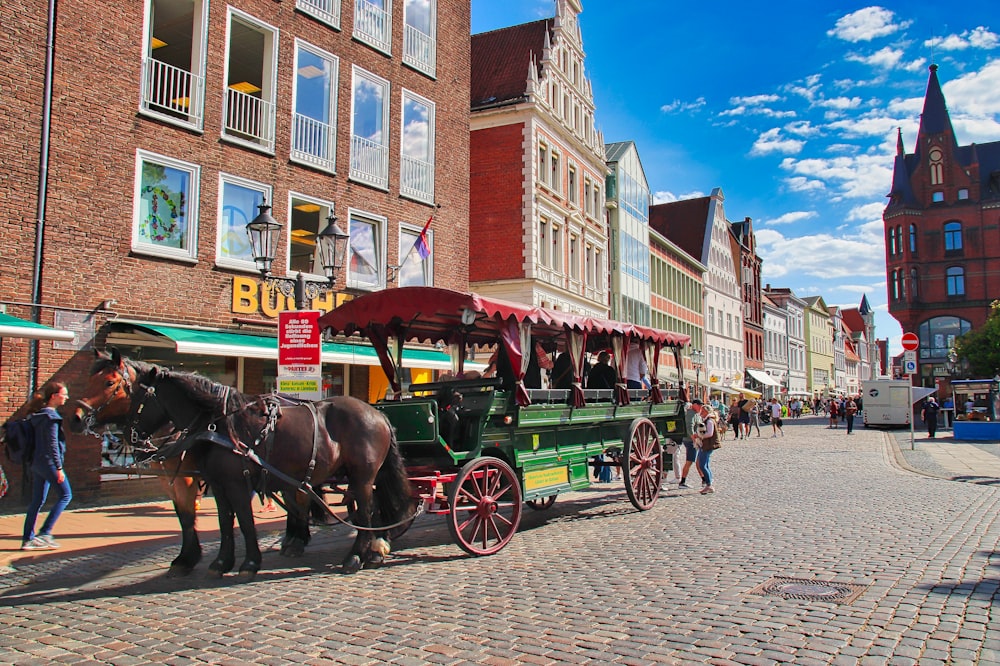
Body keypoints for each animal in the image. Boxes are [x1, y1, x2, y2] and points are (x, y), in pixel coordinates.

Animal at [123, 358, 412, 576]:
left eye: (134, 396)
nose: (128, 438)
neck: (219, 424)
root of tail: (378, 414)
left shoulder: (237, 482)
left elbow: (244, 520)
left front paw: (250, 563)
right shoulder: (218, 485)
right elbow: (225, 521)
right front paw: (221, 563)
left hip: (362, 476)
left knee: (365, 511)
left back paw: (356, 557)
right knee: (371, 509)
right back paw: (373, 550)